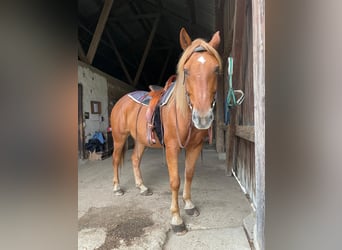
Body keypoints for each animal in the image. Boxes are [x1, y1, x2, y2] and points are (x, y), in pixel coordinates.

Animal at [110, 27, 222, 234]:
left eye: (216, 69)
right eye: (186, 70)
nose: (203, 117)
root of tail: (121, 101)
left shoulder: (195, 147)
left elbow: (189, 174)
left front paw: (189, 205)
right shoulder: (171, 148)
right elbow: (175, 181)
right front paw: (176, 219)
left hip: (141, 140)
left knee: (135, 159)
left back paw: (142, 187)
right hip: (119, 138)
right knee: (115, 160)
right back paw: (117, 188)